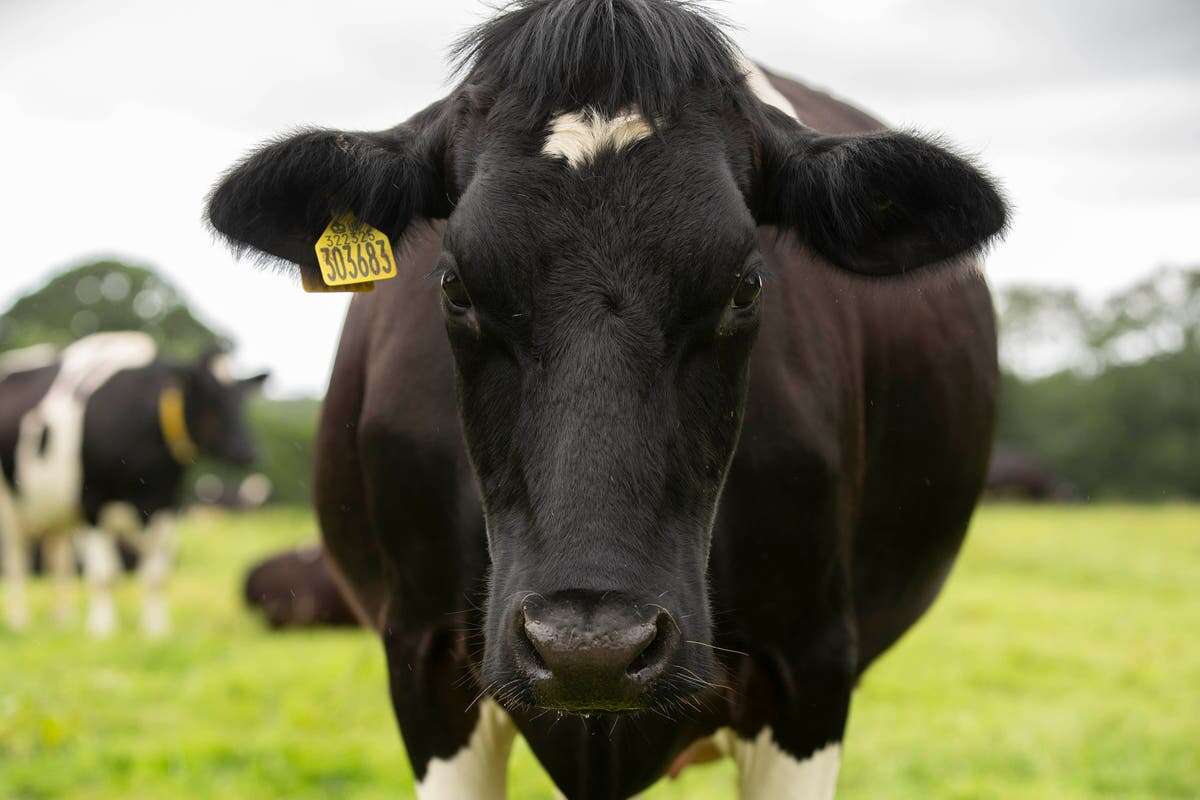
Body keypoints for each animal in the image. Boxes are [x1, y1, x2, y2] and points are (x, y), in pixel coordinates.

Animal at [0, 331, 267, 638]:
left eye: (241, 398)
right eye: (208, 395)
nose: (247, 451)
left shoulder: (165, 505)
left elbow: (156, 576)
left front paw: (156, 630)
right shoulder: (92, 503)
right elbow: (103, 574)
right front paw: (102, 629)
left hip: (55, 511)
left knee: (59, 559)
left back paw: (63, 620)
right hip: (10, 508)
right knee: (16, 562)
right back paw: (19, 621)